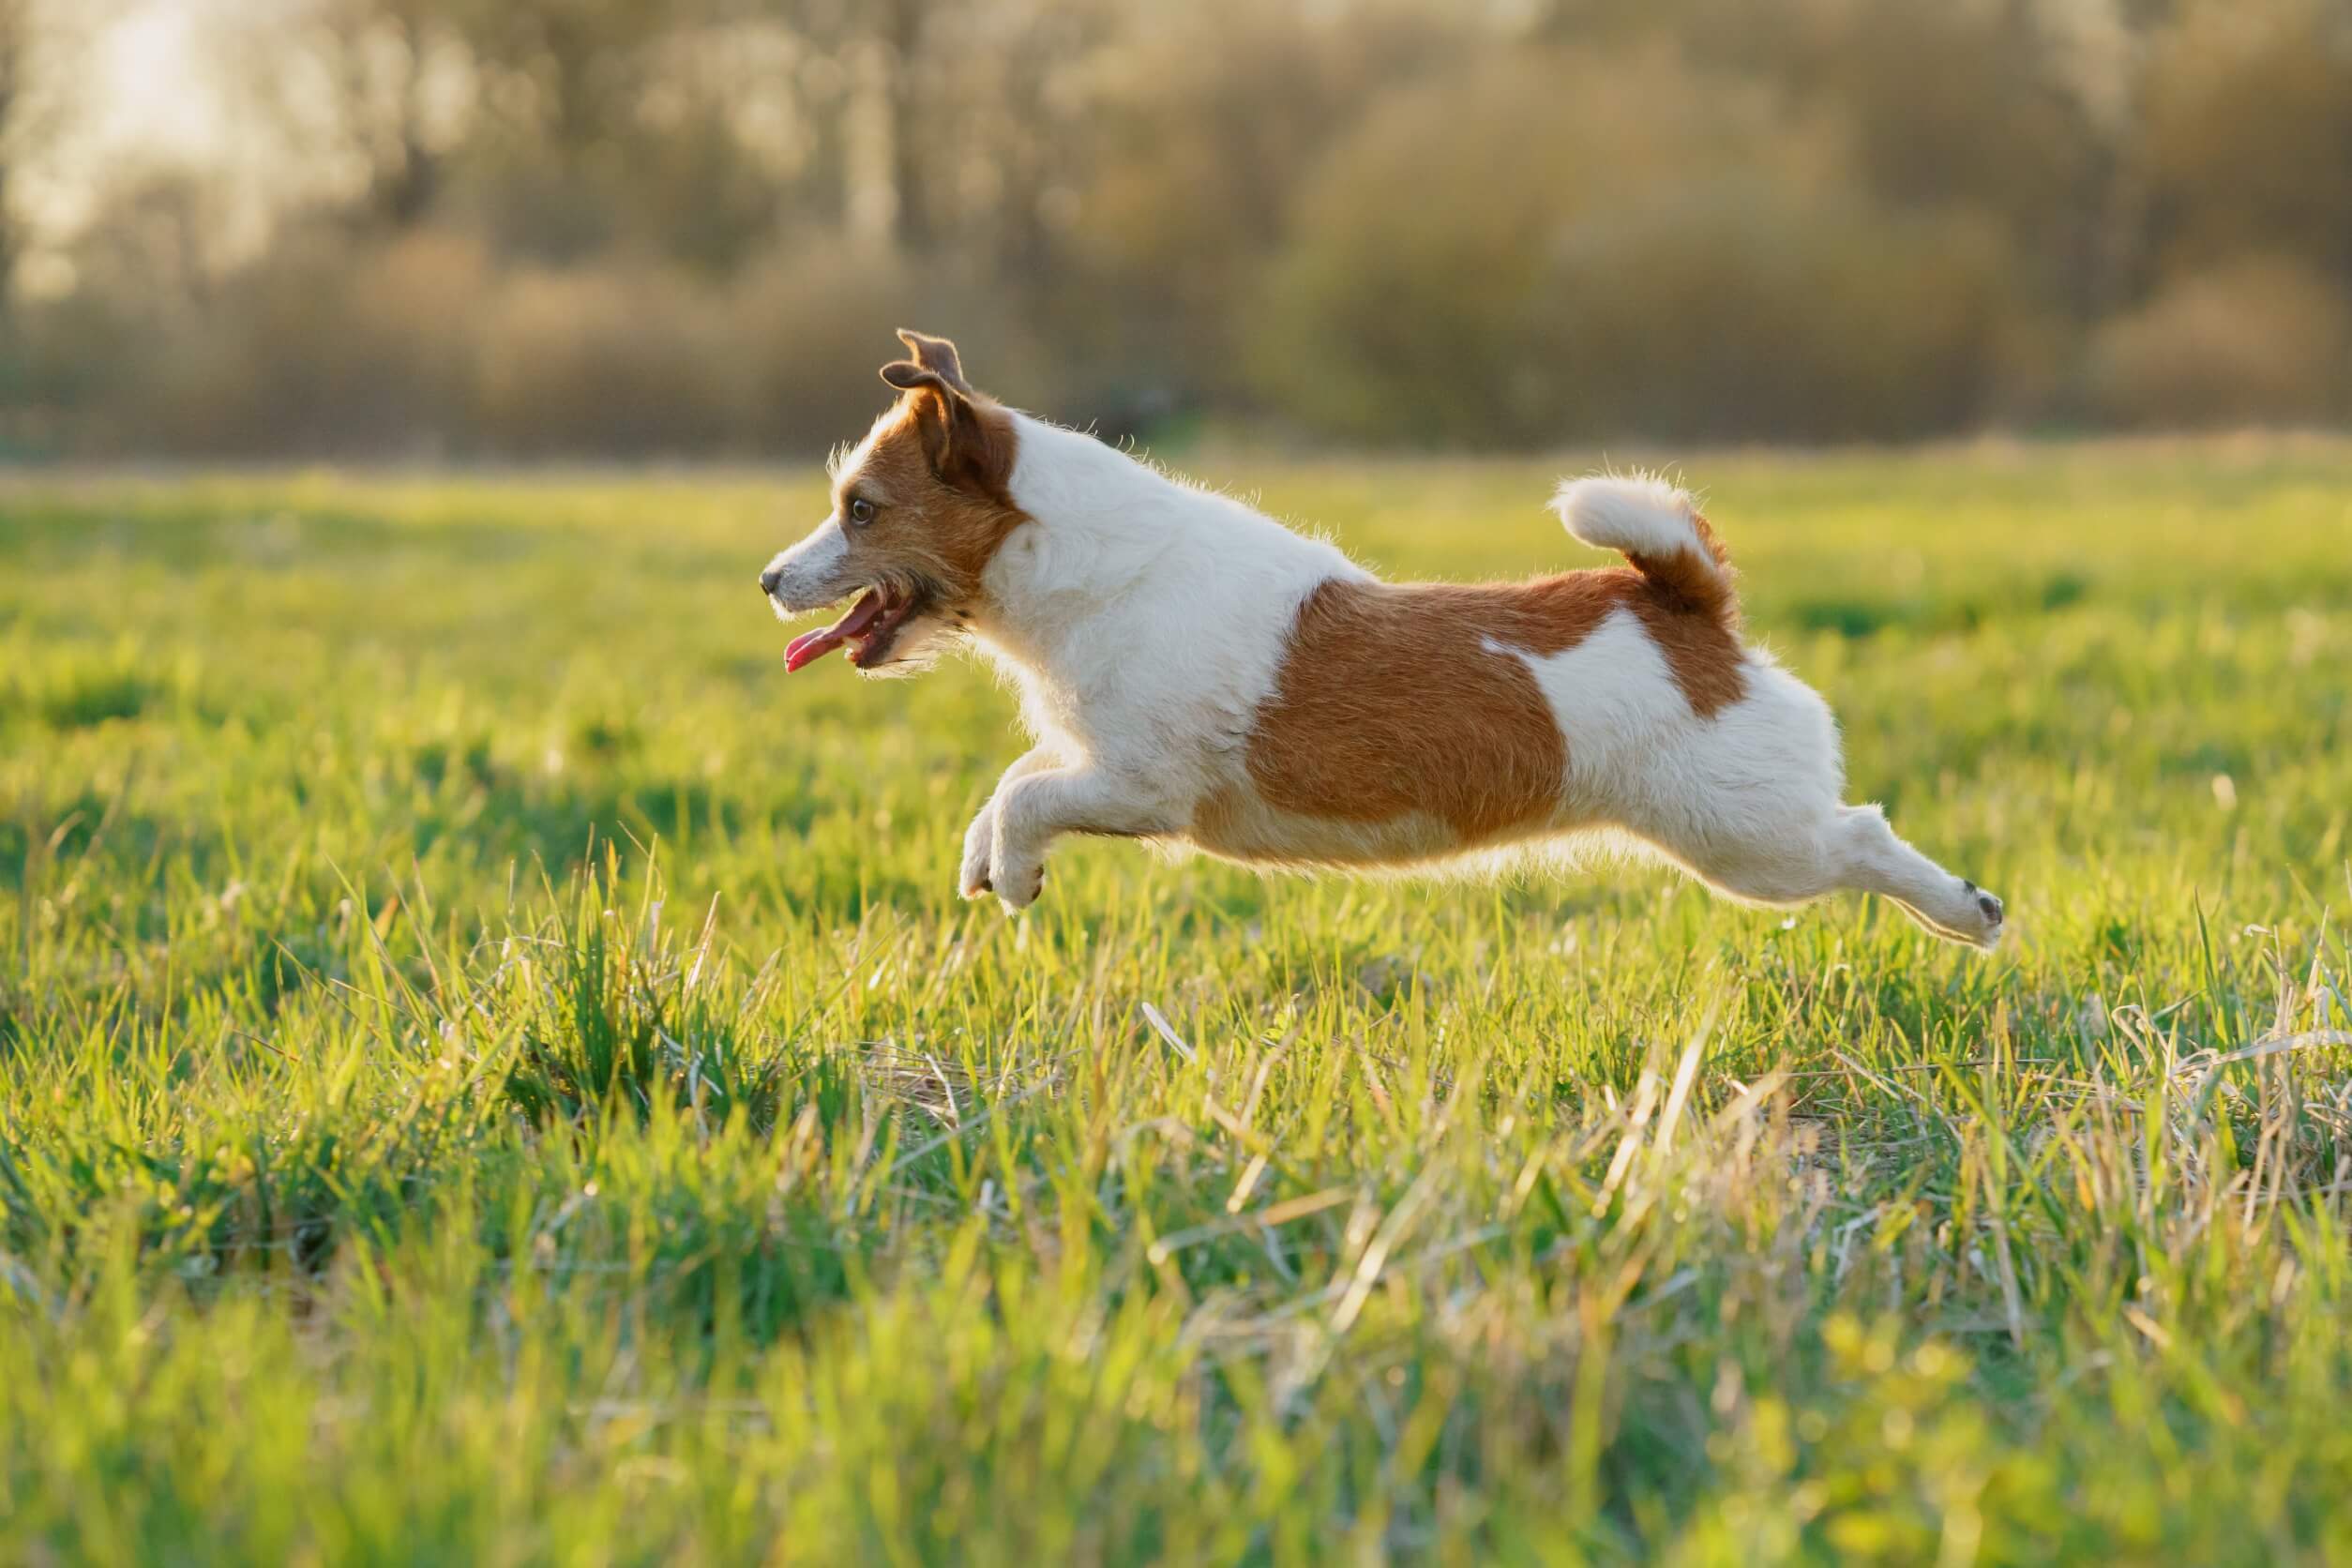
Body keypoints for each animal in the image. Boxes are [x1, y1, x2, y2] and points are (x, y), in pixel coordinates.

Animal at [766, 328, 2003, 944]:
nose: (771, 580)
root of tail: (1690, 607)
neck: (1086, 565)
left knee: (1862, 837)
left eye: (860, 510)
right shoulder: (1094, 762)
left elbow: (1031, 794)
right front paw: (988, 861)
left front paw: (1014, 868)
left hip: (1752, 843)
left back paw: (1967, 914)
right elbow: (1016, 779)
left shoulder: (1142, 787)